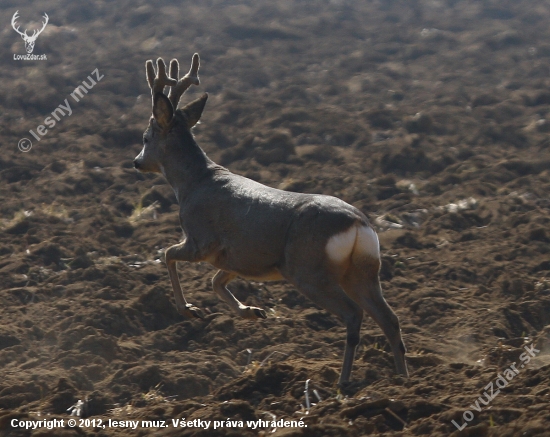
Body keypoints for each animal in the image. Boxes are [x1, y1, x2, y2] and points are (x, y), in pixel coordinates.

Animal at [134, 52, 410, 384]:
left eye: (145, 137)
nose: (136, 162)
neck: (192, 183)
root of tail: (358, 225)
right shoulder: (241, 256)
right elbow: (215, 281)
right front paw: (251, 311)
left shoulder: (201, 240)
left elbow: (167, 254)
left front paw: (190, 309)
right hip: (363, 270)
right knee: (389, 318)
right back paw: (404, 380)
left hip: (308, 270)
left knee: (354, 314)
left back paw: (344, 383)